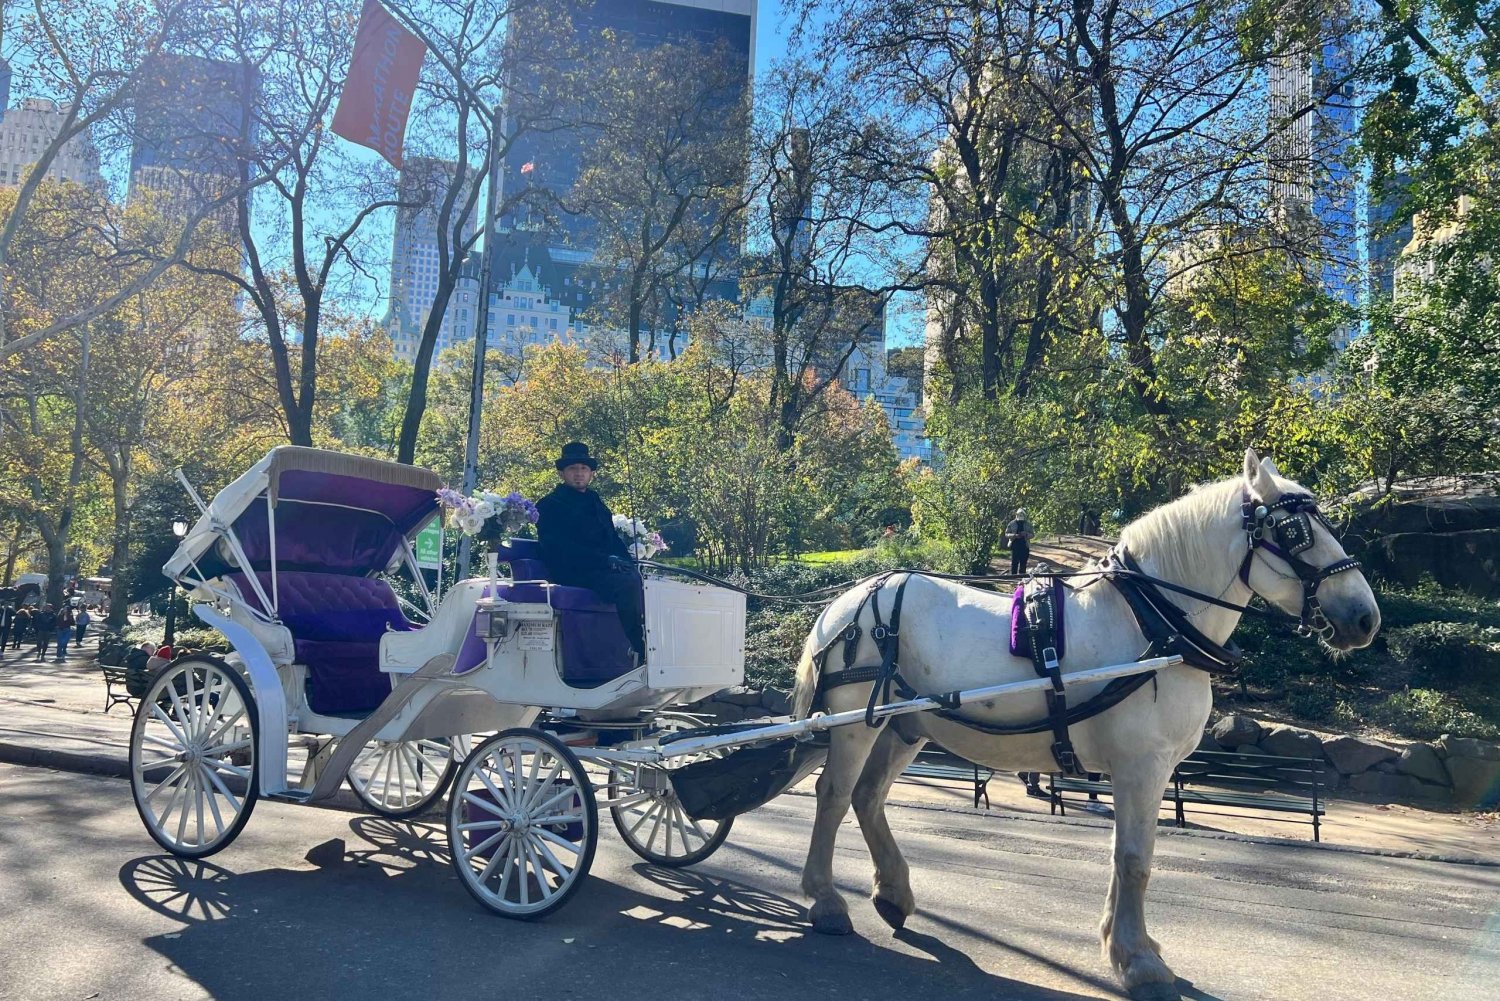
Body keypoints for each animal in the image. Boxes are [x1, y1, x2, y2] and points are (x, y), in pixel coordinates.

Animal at [792, 450, 1374, 996]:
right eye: (1295, 531)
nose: (1366, 618)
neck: (1152, 623)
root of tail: (848, 601)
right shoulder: (1141, 765)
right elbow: (1136, 858)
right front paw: (1139, 962)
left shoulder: (1142, 771)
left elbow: (1126, 854)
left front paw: (1128, 944)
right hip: (855, 724)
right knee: (834, 794)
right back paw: (826, 900)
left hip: (903, 728)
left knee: (868, 797)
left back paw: (893, 894)